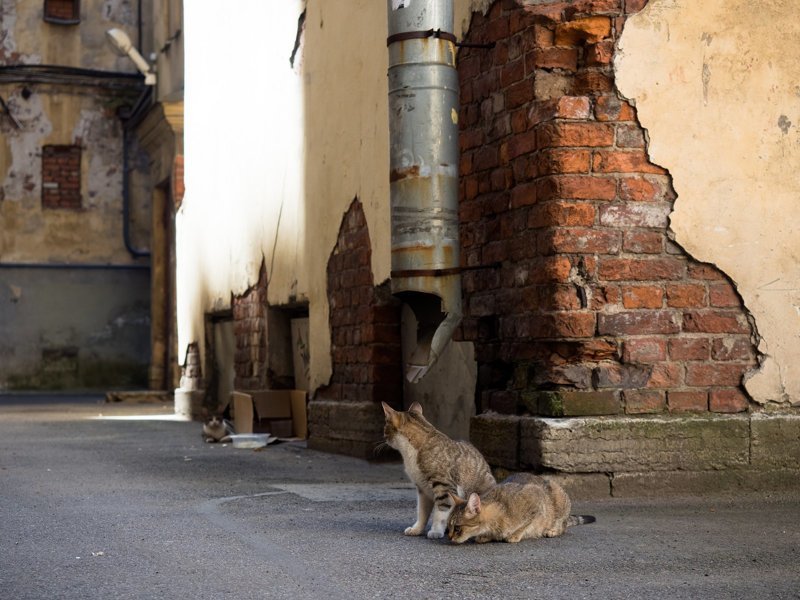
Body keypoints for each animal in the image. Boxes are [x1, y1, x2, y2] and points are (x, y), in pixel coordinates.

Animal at [380, 404, 494, 540]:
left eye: (385, 427)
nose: (383, 436)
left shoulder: (444, 487)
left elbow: (440, 513)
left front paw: (435, 531)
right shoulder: (422, 490)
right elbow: (422, 512)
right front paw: (417, 529)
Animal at [446, 474, 596, 544]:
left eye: (457, 528)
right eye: (449, 526)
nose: (449, 537)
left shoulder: (536, 501)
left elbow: (525, 525)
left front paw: (514, 535)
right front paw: (486, 536)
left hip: (558, 493)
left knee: (562, 525)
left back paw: (552, 530)